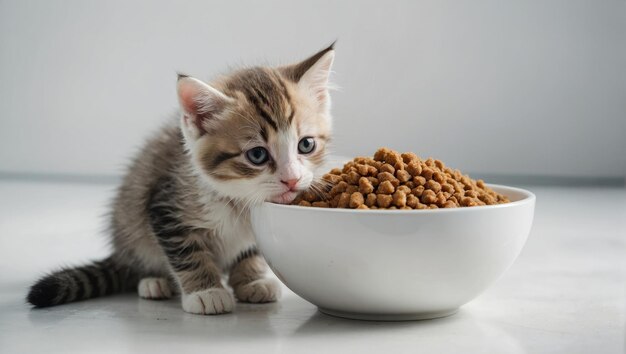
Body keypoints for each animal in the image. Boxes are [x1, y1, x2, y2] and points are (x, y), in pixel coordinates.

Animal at [26, 43, 334, 316]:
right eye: (257, 155)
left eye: (306, 145)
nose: (292, 180)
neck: (237, 198)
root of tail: (120, 252)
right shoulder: (165, 207)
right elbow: (188, 253)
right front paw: (206, 292)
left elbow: (250, 252)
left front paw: (252, 280)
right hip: (131, 220)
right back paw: (154, 282)